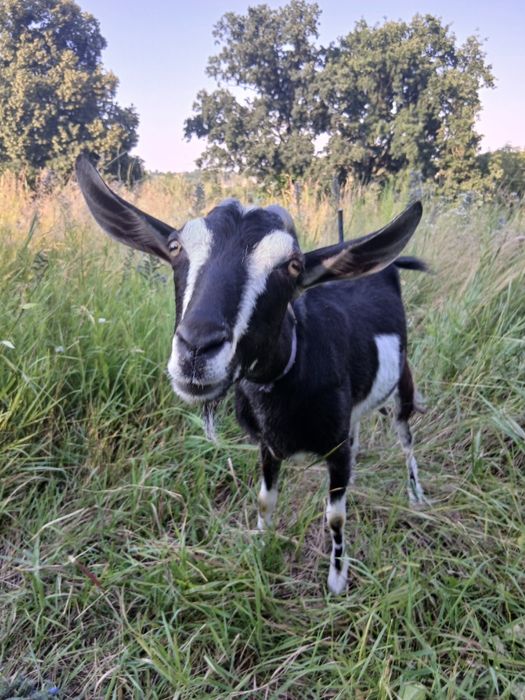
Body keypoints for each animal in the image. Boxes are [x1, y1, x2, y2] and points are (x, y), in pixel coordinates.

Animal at [76, 155, 427, 594]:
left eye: (293, 266)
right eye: (175, 248)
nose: (197, 347)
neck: (293, 366)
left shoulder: (333, 449)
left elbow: (335, 516)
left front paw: (337, 580)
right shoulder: (268, 446)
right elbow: (265, 499)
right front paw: (260, 546)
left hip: (403, 385)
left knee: (406, 439)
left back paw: (417, 494)